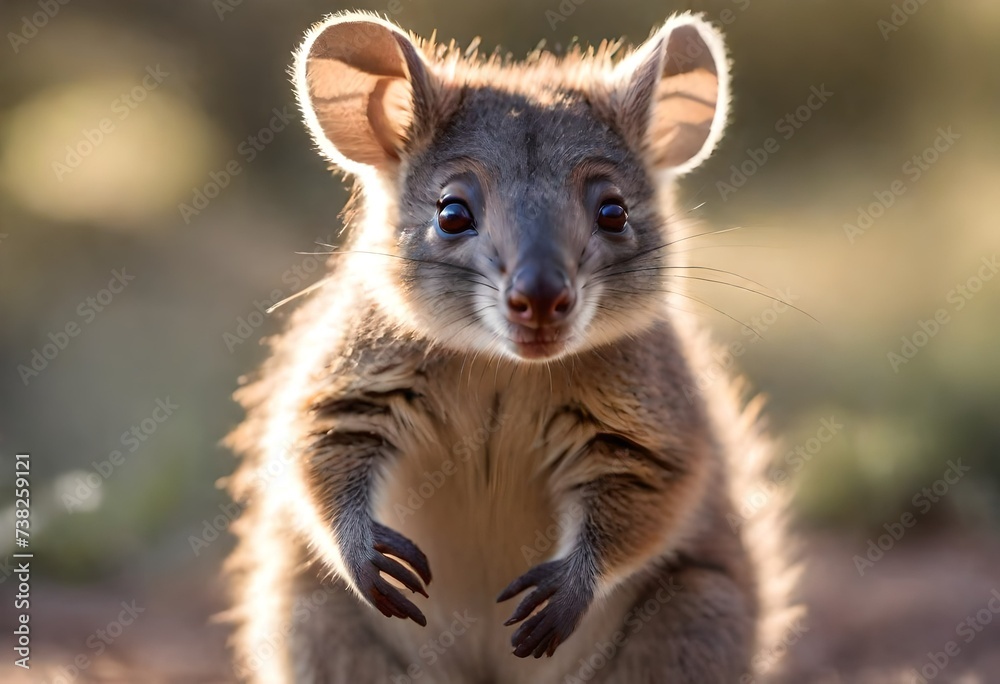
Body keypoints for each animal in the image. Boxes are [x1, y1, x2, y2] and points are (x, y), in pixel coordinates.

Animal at [224, 10, 800, 684]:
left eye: (613, 211)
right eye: (451, 213)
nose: (542, 297)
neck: (504, 370)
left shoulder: (653, 434)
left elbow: (640, 509)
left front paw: (565, 593)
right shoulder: (345, 386)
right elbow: (319, 455)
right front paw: (370, 557)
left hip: (695, 614)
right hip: (313, 616)